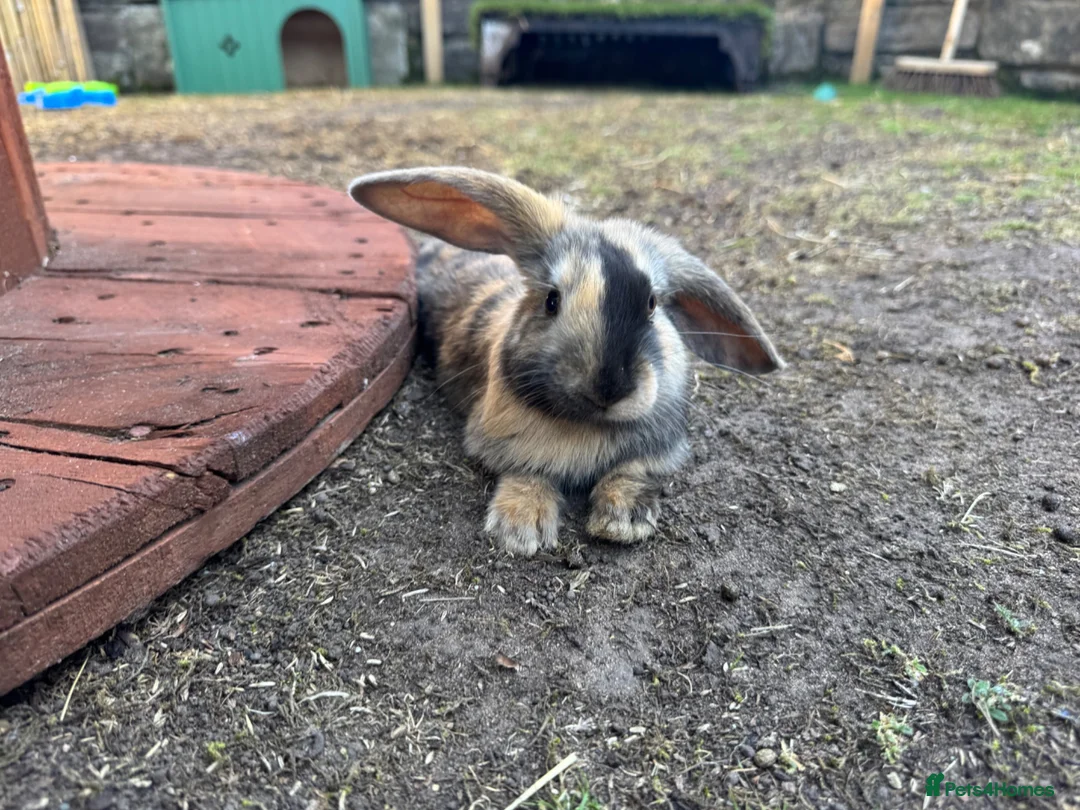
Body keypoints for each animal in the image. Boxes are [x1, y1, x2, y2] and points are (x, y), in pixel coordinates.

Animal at [347, 167, 783, 557]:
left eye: (652, 304)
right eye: (552, 300)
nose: (608, 388)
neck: (587, 423)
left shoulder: (658, 449)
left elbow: (630, 471)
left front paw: (623, 522)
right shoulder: (502, 444)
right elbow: (528, 473)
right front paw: (521, 531)